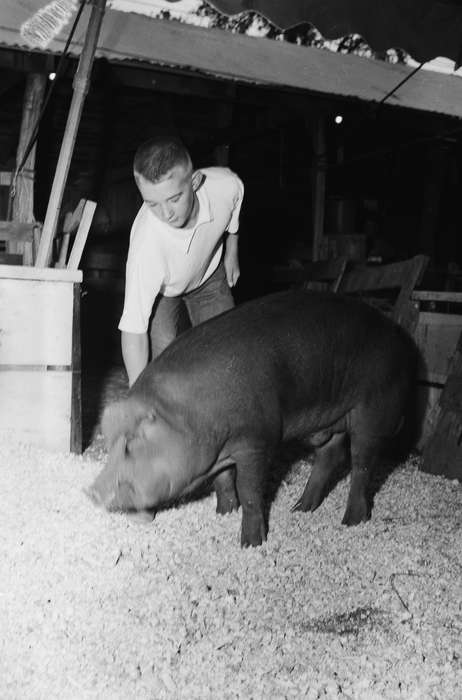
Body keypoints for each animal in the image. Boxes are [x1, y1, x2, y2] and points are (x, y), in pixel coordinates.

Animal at [87, 290, 416, 547]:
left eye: (131, 445)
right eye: (109, 443)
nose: (91, 491)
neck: (191, 415)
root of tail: (400, 339)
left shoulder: (258, 439)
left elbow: (250, 490)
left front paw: (250, 544)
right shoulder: (220, 449)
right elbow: (223, 480)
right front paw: (223, 513)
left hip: (373, 411)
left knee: (362, 464)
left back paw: (350, 522)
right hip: (329, 421)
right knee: (331, 455)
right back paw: (300, 509)